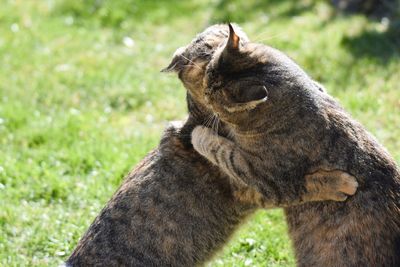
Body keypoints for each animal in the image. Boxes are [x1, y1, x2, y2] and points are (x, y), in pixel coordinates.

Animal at [65, 24, 356, 266]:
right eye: (207, 55)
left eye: (218, 39)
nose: (229, 38)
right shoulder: (257, 188)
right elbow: (302, 186)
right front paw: (338, 184)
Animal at [191, 24, 400, 266]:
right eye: (208, 76)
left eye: (212, 95)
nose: (205, 90)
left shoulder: (263, 177)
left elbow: (221, 151)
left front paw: (198, 135)